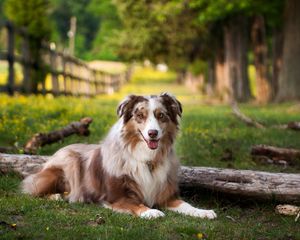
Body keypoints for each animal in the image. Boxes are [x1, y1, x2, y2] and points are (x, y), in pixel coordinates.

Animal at [22, 92, 217, 219]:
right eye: (140, 115)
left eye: (161, 115)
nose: (153, 133)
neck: (147, 159)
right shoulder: (115, 197)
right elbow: (135, 204)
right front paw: (150, 211)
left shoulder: (165, 196)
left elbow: (186, 205)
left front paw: (203, 212)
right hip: (67, 164)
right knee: (30, 189)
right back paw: (56, 196)